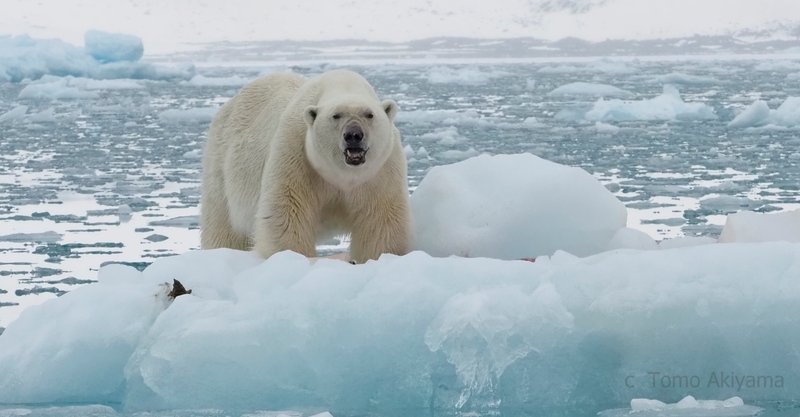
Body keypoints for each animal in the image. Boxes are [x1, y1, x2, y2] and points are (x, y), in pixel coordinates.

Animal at [200, 69, 412, 262]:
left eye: (369, 114)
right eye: (336, 115)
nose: (353, 135)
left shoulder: (382, 170)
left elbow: (380, 221)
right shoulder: (296, 154)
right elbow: (286, 215)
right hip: (221, 162)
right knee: (223, 222)